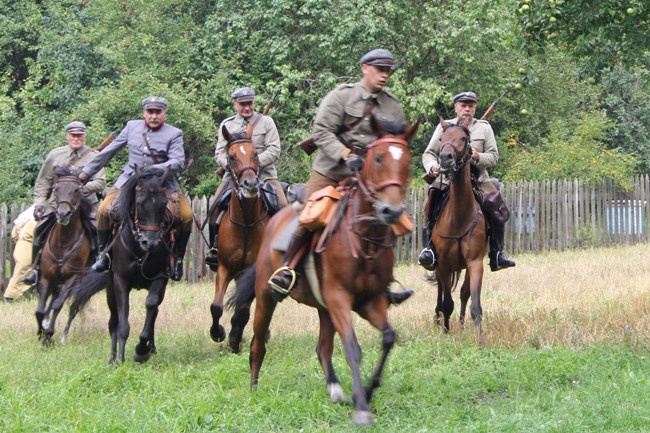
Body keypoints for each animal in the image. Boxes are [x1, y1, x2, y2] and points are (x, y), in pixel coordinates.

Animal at [35, 165, 94, 344]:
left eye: (76, 190)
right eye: (56, 188)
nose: (62, 214)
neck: (63, 242)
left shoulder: (73, 278)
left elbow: (58, 304)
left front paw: (49, 334)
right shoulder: (46, 277)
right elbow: (40, 310)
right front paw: (41, 331)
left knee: (73, 306)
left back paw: (63, 336)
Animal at [65, 164, 176, 362]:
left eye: (163, 204)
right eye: (139, 203)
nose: (151, 242)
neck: (139, 250)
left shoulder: (160, 279)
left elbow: (151, 305)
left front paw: (141, 349)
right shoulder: (120, 282)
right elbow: (122, 323)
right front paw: (121, 360)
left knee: (153, 311)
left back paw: (150, 348)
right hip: (110, 287)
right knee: (114, 319)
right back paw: (113, 357)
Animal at [209, 121, 268, 352]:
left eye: (256, 154)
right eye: (232, 156)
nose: (250, 184)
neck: (246, 223)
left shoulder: (252, 271)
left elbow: (243, 310)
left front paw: (234, 339)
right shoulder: (225, 267)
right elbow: (216, 306)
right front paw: (218, 333)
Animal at [228, 119, 418, 426]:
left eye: (407, 162)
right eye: (378, 159)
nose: (391, 211)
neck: (363, 239)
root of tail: (274, 222)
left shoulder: (369, 302)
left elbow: (388, 338)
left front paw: (366, 391)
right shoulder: (340, 299)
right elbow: (352, 348)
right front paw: (362, 406)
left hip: (324, 308)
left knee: (323, 348)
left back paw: (335, 388)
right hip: (267, 298)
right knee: (258, 343)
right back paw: (254, 387)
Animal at [430, 115, 486, 338]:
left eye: (463, 138)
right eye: (441, 138)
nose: (445, 158)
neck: (459, 217)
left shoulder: (475, 262)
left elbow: (473, 303)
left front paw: (479, 339)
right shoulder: (443, 265)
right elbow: (447, 303)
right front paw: (446, 332)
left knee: (463, 293)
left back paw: (461, 325)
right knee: (440, 296)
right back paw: (438, 321)